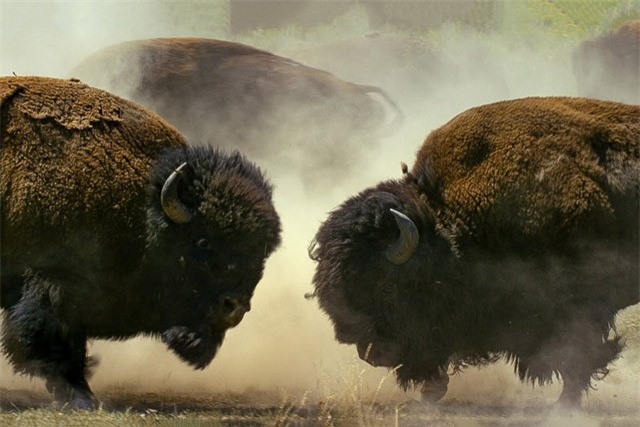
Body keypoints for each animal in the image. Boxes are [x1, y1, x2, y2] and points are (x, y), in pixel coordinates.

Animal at [0, 76, 282, 409]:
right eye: (202, 242)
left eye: (261, 253)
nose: (234, 308)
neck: (142, 204)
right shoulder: (52, 284)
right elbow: (52, 342)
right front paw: (81, 398)